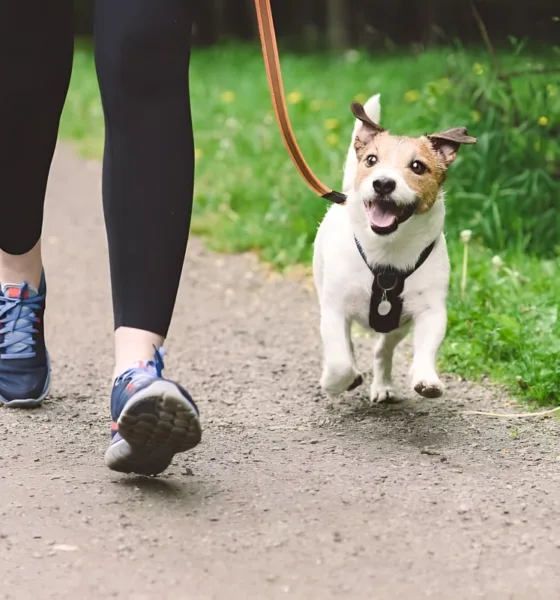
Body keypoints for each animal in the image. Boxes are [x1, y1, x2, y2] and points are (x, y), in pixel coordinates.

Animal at [312, 94, 474, 404]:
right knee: (348, 348)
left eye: (418, 166)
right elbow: (339, 361)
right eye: (371, 160)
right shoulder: (334, 309)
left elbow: (426, 348)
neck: (388, 253)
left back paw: (383, 384)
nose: (383, 183)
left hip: (397, 326)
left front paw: (426, 379)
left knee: (382, 350)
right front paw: (334, 382)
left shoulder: (430, 311)